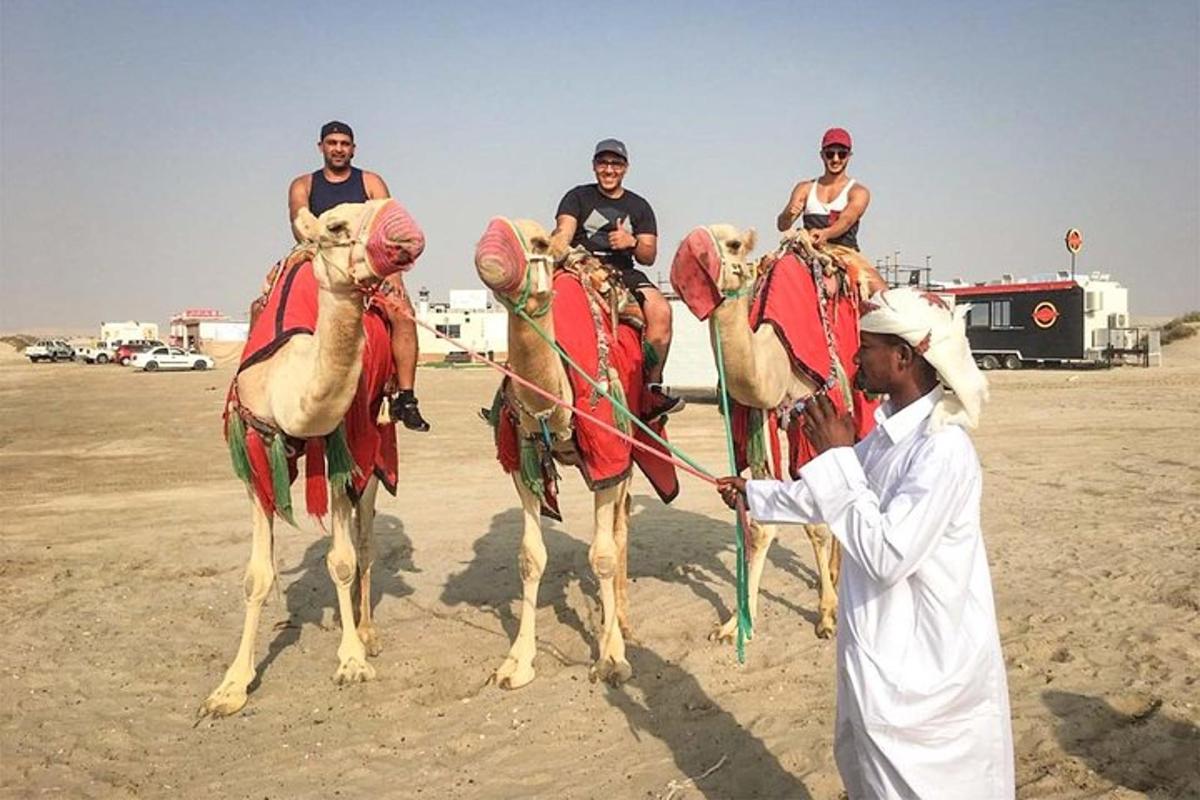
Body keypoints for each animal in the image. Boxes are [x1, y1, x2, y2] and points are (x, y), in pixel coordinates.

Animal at [204, 200, 429, 719]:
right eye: (335, 226)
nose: (403, 234)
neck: (286, 384)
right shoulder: (257, 451)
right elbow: (256, 576)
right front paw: (230, 686)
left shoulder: (341, 446)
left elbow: (342, 561)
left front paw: (352, 660)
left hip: (376, 446)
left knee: (365, 542)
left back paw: (367, 632)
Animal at [472, 217, 638, 690]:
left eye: (540, 242)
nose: (492, 248)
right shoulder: (521, 463)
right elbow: (530, 557)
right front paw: (518, 662)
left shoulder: (610, 461)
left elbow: (602, 556)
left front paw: (612, 656)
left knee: (620, 529)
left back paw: (623, 621)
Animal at [676, 225, 844, 642]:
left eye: (733, 244)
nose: (688, 256)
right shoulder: (762, 419)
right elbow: (762, 525)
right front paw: (735, 625)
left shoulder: (815, 413)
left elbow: (817, 520)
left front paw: (827, 615)